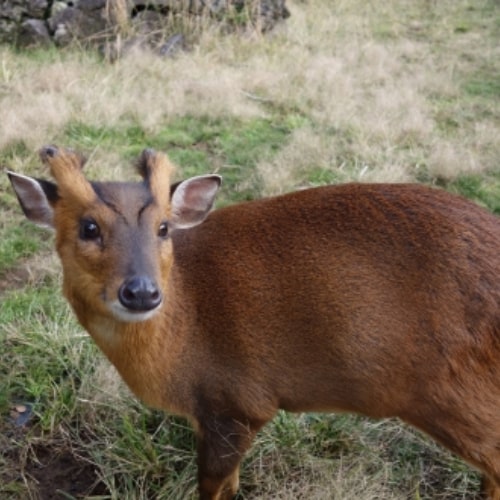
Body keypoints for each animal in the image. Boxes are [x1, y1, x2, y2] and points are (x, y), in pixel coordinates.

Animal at [6, 146, 500, 500]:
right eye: (88, 227)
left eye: (164, 228)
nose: (142, 292)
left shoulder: (237, 401)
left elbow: (213, 488)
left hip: (457, 396)